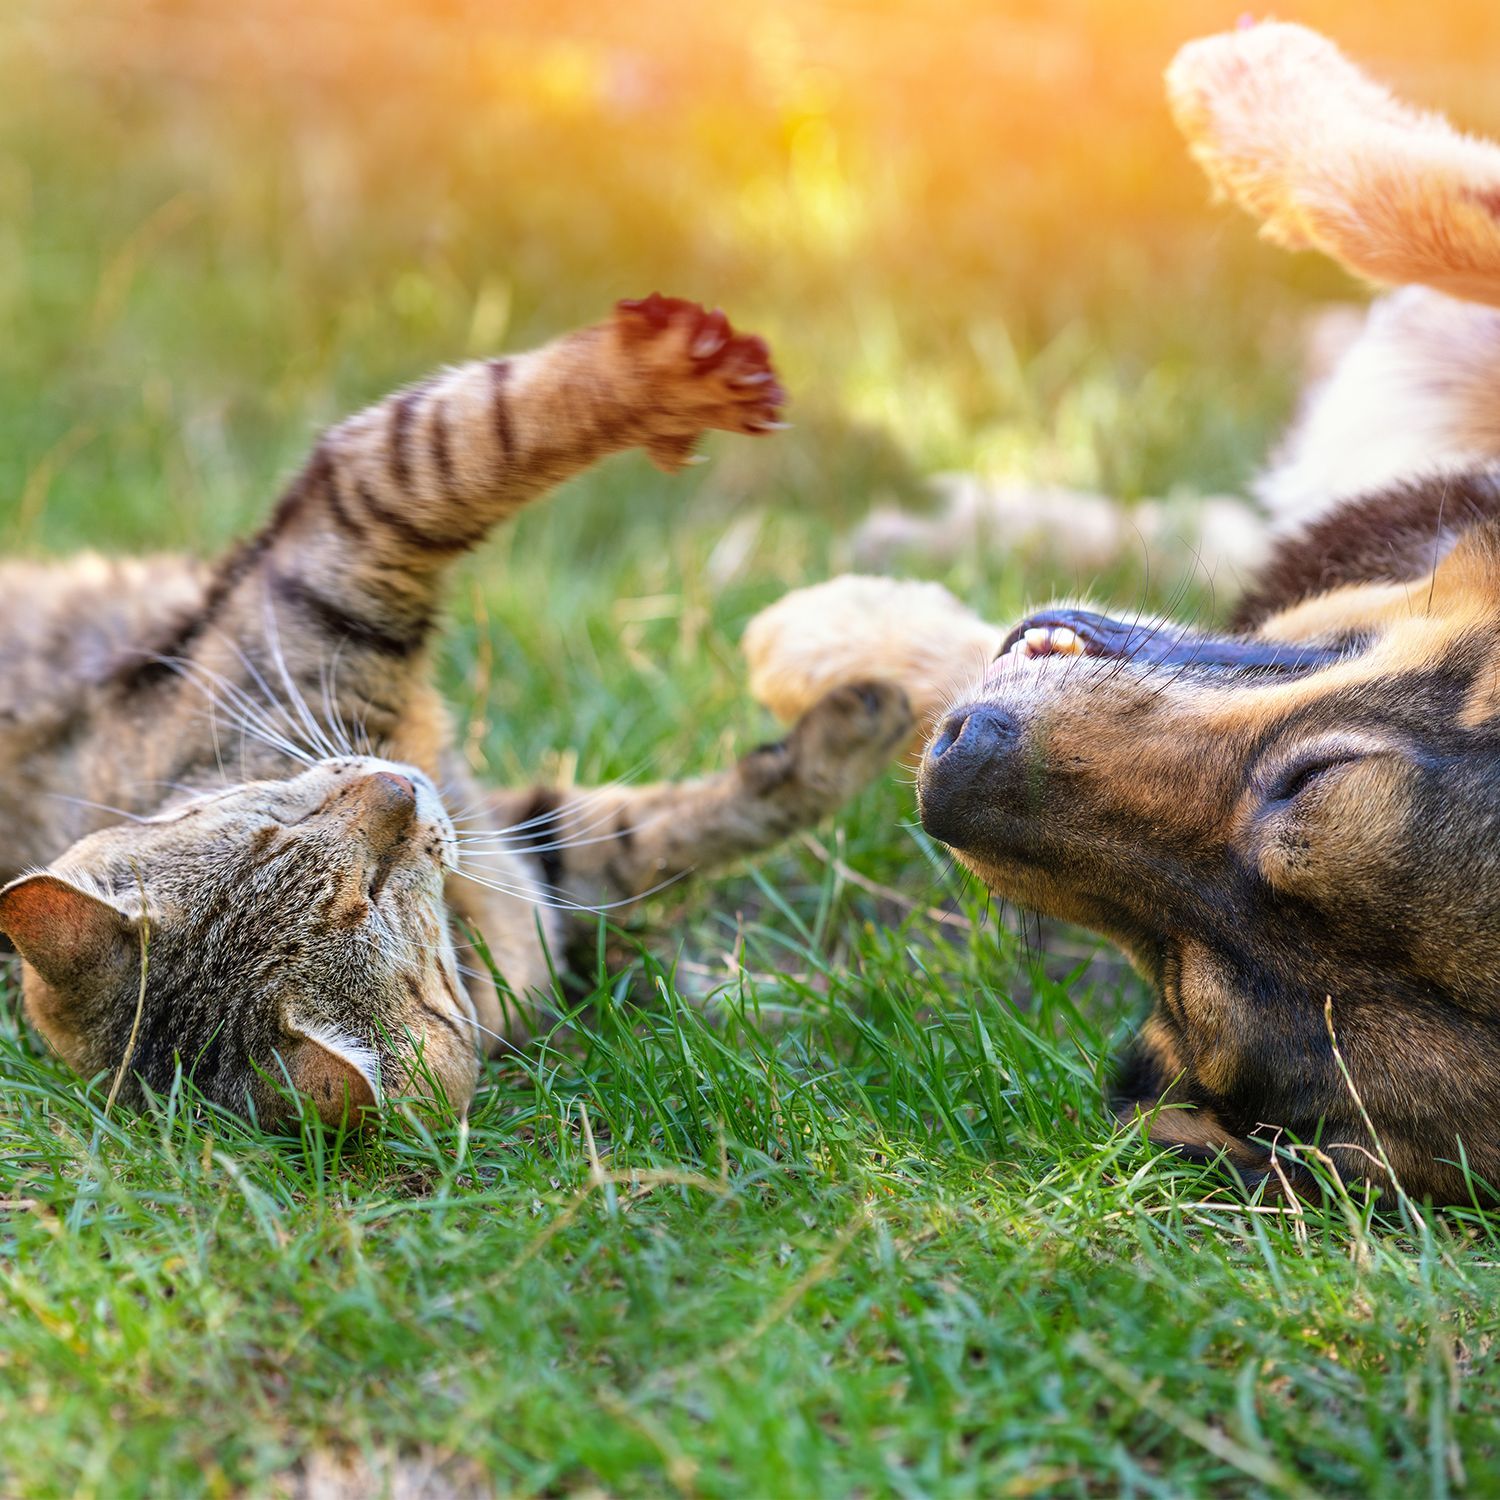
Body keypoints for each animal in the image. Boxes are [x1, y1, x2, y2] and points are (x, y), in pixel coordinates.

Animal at [0, 298, 906, 1128]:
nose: (398, 791)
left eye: (278, 821)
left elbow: (679, 822)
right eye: (369, 894)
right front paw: (668, 373)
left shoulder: (528, 840)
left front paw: (853, 728)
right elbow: (483, 429)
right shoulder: (362, 522)